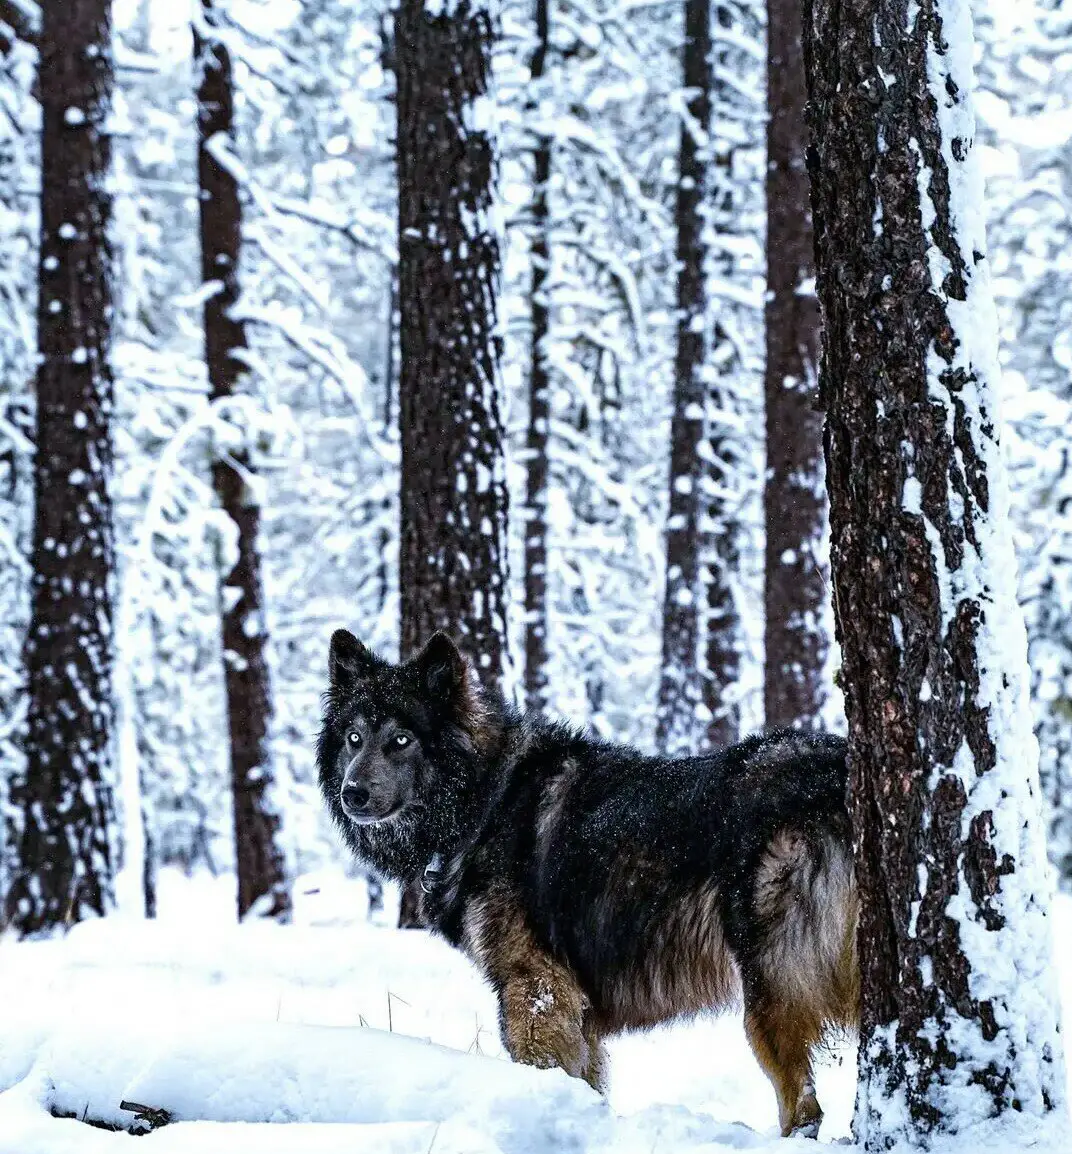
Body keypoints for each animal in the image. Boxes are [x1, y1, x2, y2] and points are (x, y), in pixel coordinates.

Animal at [313, 627, 858, 1140]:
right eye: (354, 739)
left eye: (401, 740)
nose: (351, 795)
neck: (485, 801)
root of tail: (837, 772)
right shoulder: (579, 1013)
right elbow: (589, 1082)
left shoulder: (535, 986)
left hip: (769, 993)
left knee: (803, 1108)